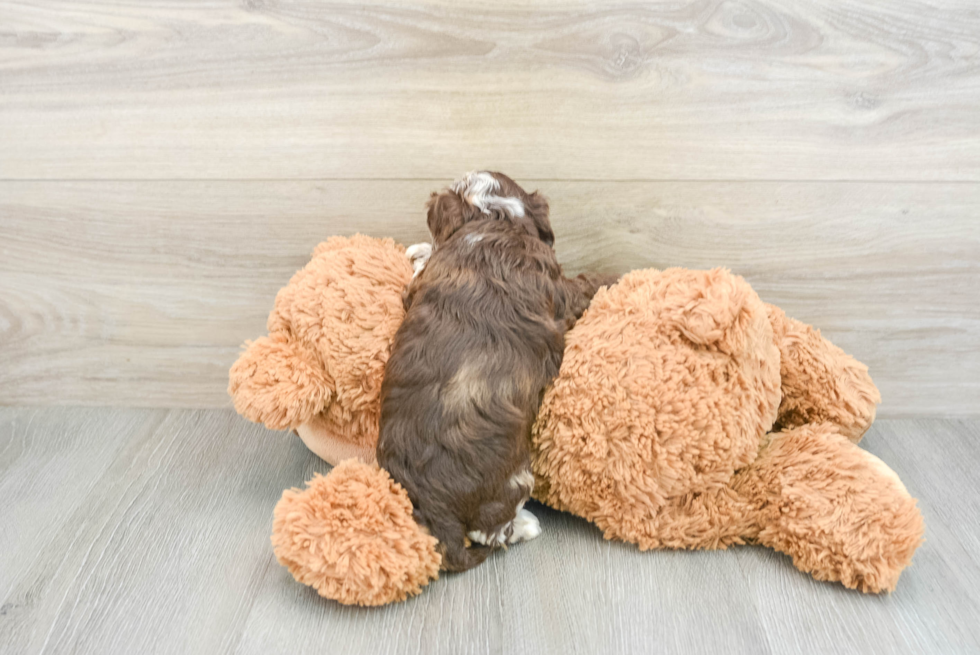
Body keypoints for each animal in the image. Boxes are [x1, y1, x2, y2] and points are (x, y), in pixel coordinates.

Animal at [378, 172, 616, 572]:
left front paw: (420, 250)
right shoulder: (561, 290)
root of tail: (438, 514)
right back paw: (526, 525)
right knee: (490, 532)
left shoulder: (419, 287)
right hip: (514, 481)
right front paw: (611, 277)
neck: (494, 220)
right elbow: (585, 283)